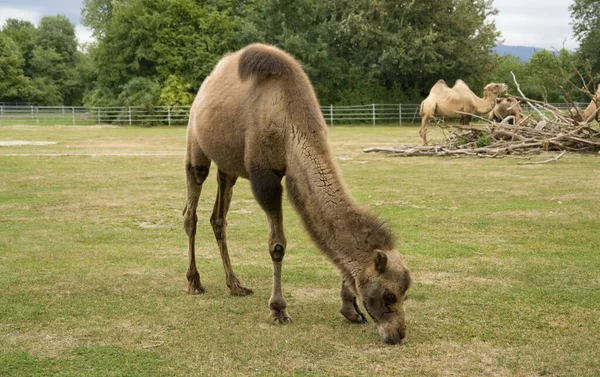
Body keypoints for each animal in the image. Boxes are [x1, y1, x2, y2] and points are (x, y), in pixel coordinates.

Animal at [182, 44, 412, 344]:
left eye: (405, 293)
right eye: (388, 295)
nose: (397, 334)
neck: (290, 123)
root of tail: (204, 88)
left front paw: (350, 310)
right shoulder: (265, 176)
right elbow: (277, 245)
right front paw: (278, 310)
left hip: (228, 166)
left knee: (218, 217)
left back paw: (236, 284)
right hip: (195, 143)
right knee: (191, 211)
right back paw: (194, 282)